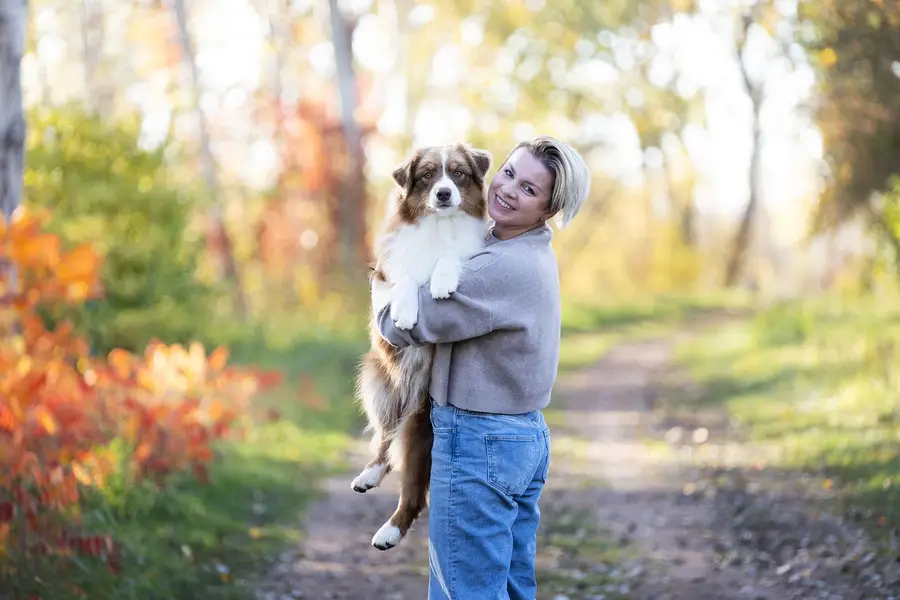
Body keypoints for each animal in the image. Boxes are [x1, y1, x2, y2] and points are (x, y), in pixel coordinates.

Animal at [352, 143, 492, 552]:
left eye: (458, 173)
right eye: (428, 175)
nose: (443, 194)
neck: (439, 227)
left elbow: (449, 259)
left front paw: (442, 281)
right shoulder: (387, 272)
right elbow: (404, 278)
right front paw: (403, 309)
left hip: (419, 424)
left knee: (413, 492)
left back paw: (390, 531)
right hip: (378, 381)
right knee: (384, 438)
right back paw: (370, 475)